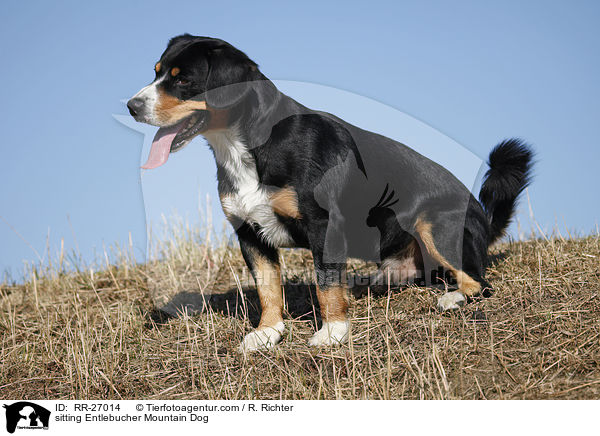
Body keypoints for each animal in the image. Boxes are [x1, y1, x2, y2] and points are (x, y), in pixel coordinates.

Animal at [127, 35, 536, 352]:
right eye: (156, 71)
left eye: (183, 80)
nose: (131, 106)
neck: (246, 147)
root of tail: (483, 216)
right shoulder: (249, 233)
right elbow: (267, 288)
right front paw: (267, 333)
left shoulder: (322, 224)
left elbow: (326, 284)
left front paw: (333, 332)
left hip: (435, 227)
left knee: (478, 282)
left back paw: (453, 298)